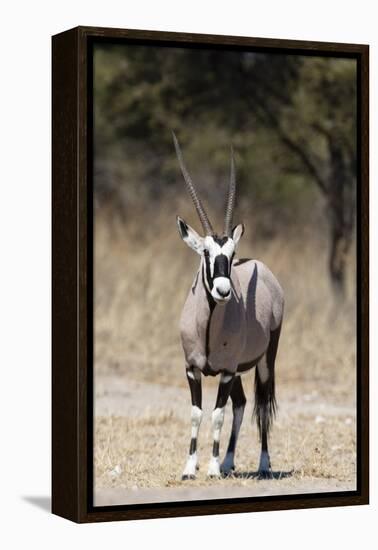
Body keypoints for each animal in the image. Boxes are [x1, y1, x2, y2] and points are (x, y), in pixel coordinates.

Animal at [173, 133, 284, 478]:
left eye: (231, 255)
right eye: (206, 253)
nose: (223, 290)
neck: (208, 327)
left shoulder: (224, 371)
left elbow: (217, 414)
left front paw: (209, 468)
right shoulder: (193, 369)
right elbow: (197, 412)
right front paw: (190, 467)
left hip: (264, 360)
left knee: (261, 403)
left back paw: (262, 464)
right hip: (237, 371)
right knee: (242, 402)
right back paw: (229, 461)